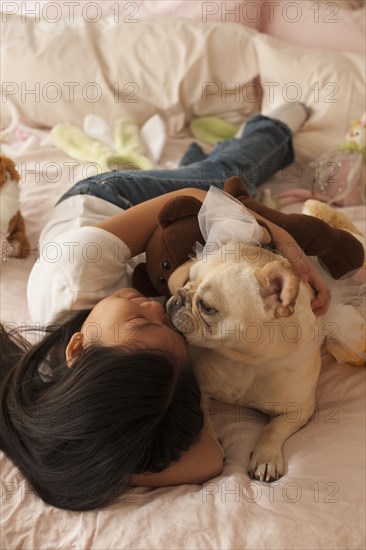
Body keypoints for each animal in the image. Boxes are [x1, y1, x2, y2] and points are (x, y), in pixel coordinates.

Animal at [167, 245, 326, 484]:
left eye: (206, 307)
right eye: (189, 280)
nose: (178, 296)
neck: (246, 360)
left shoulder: (299, 410)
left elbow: (273, 428)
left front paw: (266, 458)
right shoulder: (200, 390)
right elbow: (205, 417)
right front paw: (212, 442)